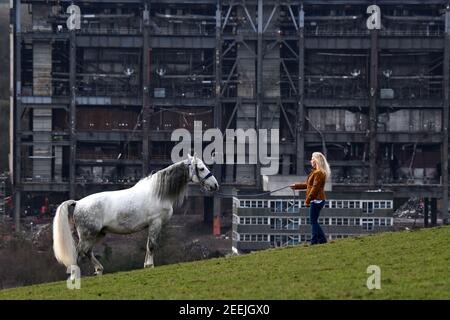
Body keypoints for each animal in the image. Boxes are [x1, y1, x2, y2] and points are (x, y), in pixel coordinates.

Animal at [52, 154, 220, 274]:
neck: (158, 193)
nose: (215, 185)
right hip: (88, 234)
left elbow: (147, 245)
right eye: (201, 168)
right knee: (79, 252)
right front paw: (150, 265)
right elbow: (152, 245)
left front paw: (146, 265)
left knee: (86, 251)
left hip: (98, 234)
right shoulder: (155, 223)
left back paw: (98, 270)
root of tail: (78, 203)